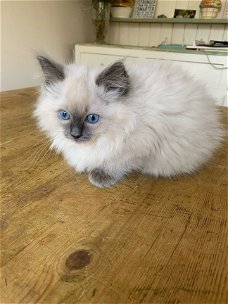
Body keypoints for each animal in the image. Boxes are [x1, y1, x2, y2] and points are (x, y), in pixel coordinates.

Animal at [34, 55, 224, 186]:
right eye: (64, 115)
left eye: (92, 118)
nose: (75, 135)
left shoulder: (140, 146)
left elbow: (116, 162)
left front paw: (100, 177)